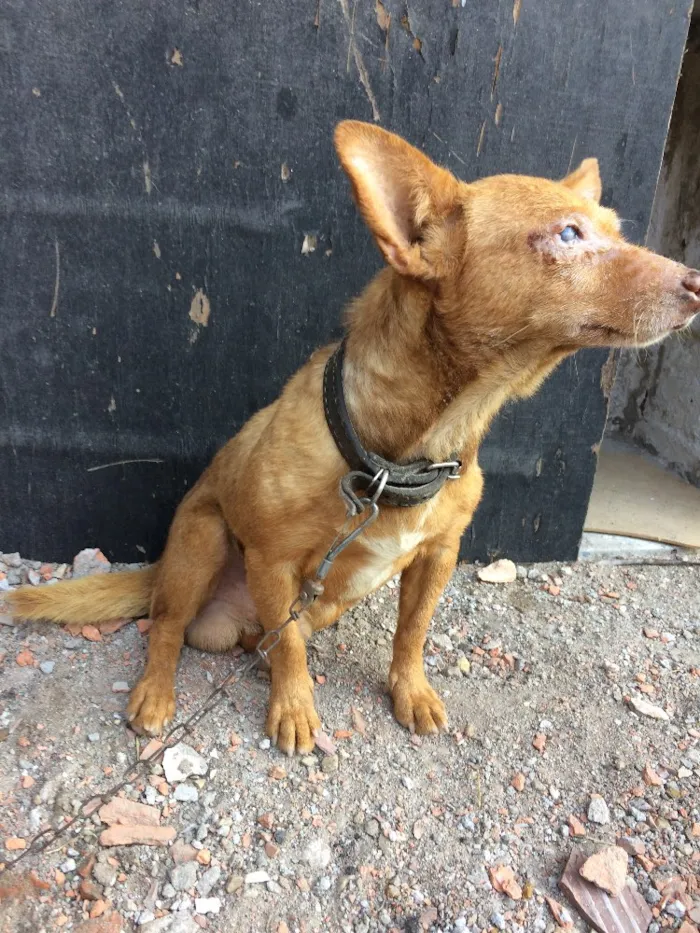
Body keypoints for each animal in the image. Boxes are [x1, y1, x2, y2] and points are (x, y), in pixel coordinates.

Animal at [6, 120, 700, 752]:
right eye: (567, 233)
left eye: (616, 228)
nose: (696, 283)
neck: (405, 453)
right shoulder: (273, 562)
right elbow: (290, 649)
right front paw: (293, 708)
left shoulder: (438, 555)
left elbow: (410, 633)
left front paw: (408, 691)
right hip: (200, 543)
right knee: (171, 628)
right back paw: (156, 692)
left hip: (326, 599)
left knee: (268, 634)